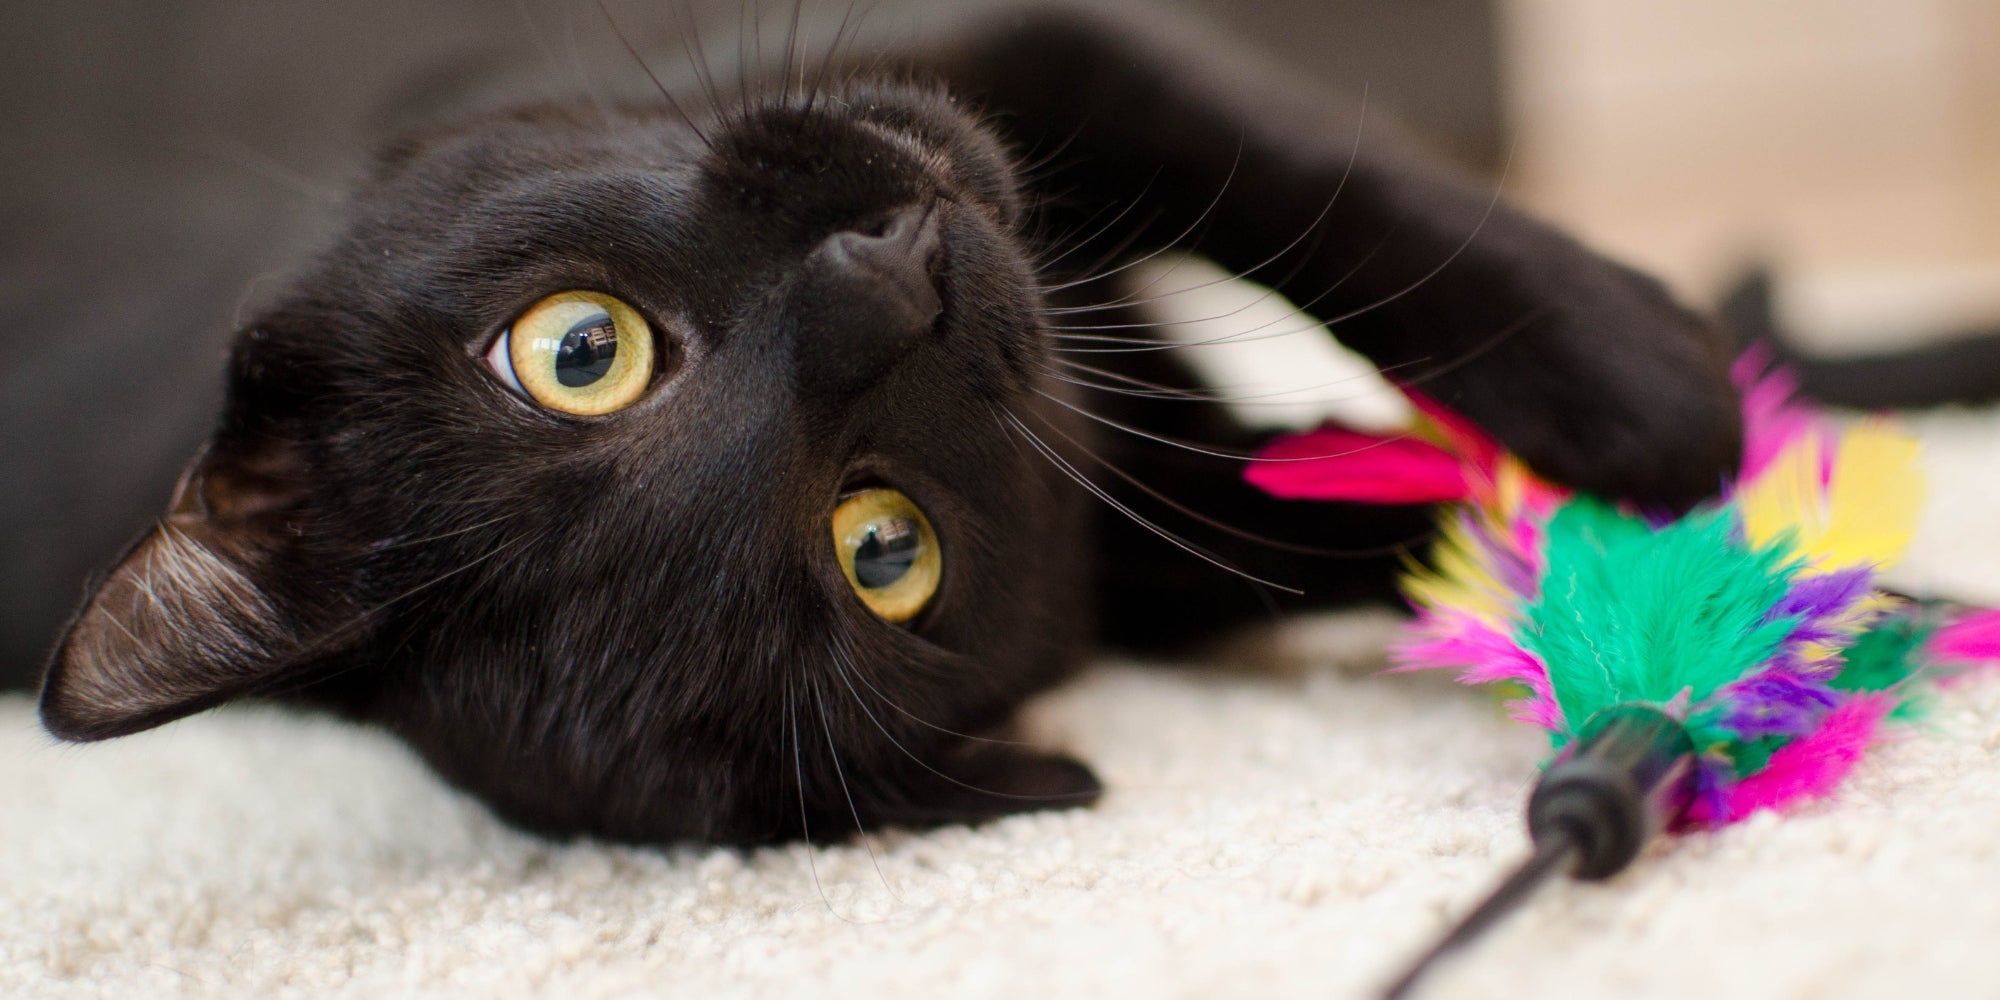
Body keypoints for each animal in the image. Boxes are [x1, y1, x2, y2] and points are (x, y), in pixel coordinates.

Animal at [15, 1, 1744, 844]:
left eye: (580, 351)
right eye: (881, 547)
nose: (892, 287)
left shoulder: (1020, 42)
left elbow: (1304, 171)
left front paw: (1656, 391)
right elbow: (1351, 517)